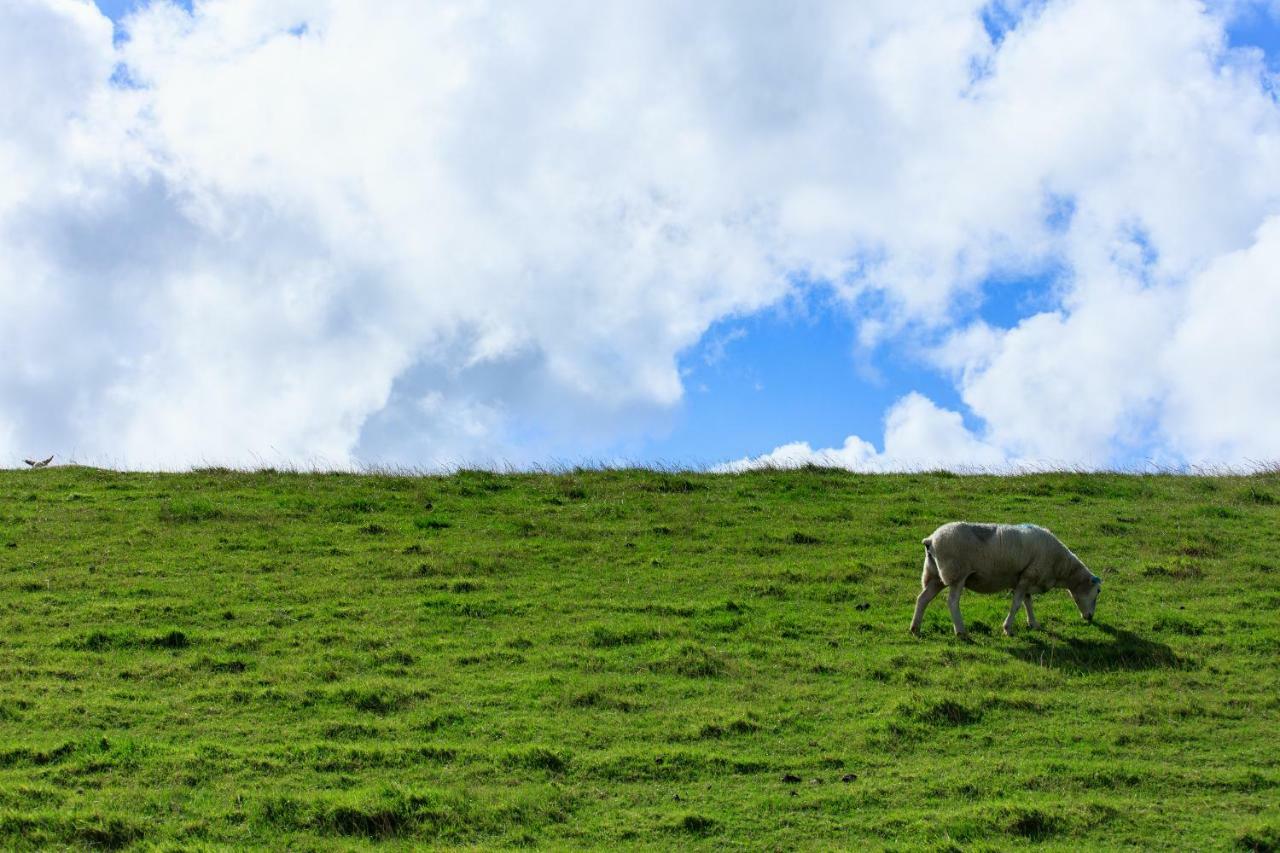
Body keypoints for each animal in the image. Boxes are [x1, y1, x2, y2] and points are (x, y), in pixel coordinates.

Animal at [911, 517, 1100, 637]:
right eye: (1098, 591)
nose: (1090, 617)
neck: (1061, 567)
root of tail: (930, 540)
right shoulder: (1028, 577)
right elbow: (1016, 604)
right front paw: (1008, 629)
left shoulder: (1026, 578)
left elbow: (1028, 603)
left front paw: (1034, 624)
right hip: (957, 574)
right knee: (951, 602)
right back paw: (961, 631)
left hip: (935, 575)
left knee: (923, 599)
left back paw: (915, 628)